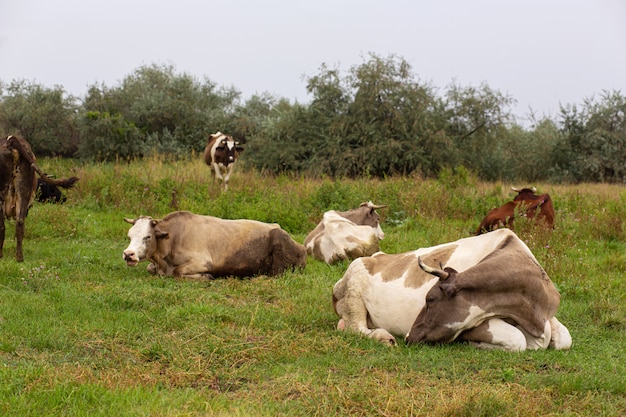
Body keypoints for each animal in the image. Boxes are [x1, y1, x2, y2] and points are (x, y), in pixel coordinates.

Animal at [121, 211, 304, 280]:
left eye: (148, 236)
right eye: (129, 235)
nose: (128, 254)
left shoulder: (203, 262)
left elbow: (179, 272)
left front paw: (206, 276)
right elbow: (149, 268)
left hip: (279, 246)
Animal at [332, 228, 572, 352]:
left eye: (430, 299)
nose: (409, 336)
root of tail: (374, 256)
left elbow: (564, 340)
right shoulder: (477, 323)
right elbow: (517, 340)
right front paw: (478, 343)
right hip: (354, 291)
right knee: (356, 327)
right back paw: (384, 337)